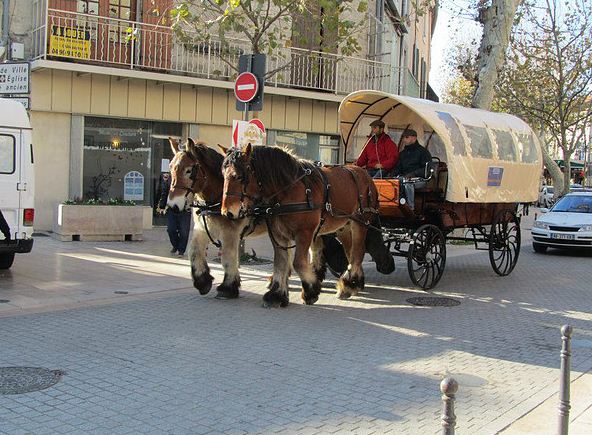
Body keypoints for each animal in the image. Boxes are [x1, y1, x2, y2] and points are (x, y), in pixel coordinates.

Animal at [222, 144, 380, 306]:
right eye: (223, 175)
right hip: (344, 227)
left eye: (239, 177)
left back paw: (349, 284)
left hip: (360, 222)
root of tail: (364, 174)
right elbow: (280, 262)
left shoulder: (305, 233)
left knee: (357, 252)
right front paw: (277, 294)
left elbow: (298, 262)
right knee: (350, 252)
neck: (288, 191)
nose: (227, 212)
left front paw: (311, 290)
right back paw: (354, 283)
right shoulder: (278, 234)